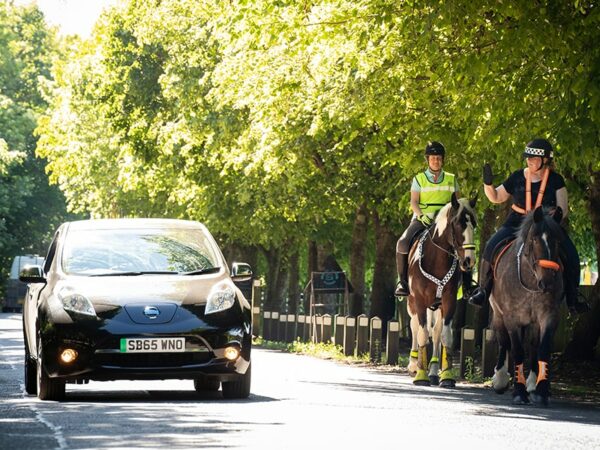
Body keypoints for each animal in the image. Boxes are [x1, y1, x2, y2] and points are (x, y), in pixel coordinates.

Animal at [406, 193, 476, 386]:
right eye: (458, 224)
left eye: (474, 224)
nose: (469, 261)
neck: (436, 259)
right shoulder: (419, 300)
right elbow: (422, 333)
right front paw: (420, 375)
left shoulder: (449, 300)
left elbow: (445, 335)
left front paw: (447, 376)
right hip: (412, 302)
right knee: (414, 326)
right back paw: (413, 364)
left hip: (437, 306)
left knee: (436, 331)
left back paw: (434, 371)